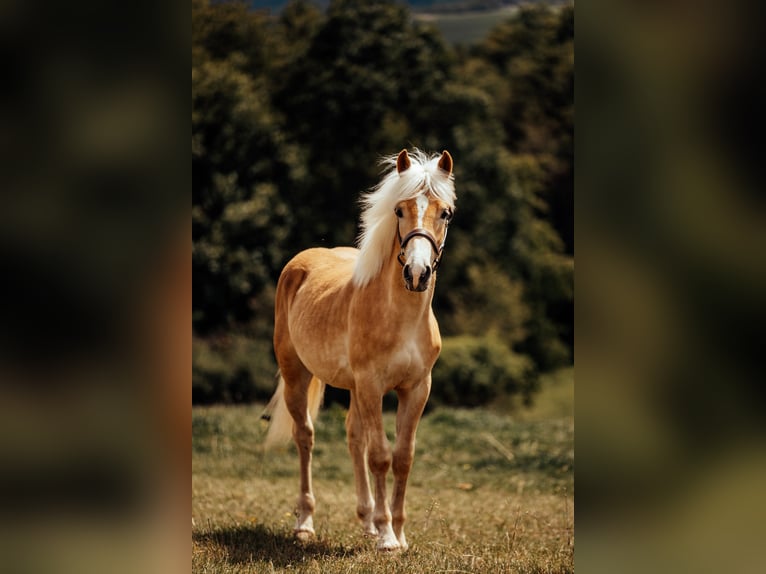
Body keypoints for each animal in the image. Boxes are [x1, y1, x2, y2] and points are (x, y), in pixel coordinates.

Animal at [263, 148, 456, 551]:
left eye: (445, 213)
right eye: (399, 210)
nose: (417, 273)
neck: (400, 317)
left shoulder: (416, 389)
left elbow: (402, 456)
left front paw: (397, 532)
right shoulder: (371, 385)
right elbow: (380, 456)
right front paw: (387, 538)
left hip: (353, 389)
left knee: (354, 439)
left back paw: (366, 521)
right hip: (297, 376)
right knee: (305, 437)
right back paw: (305, 523)